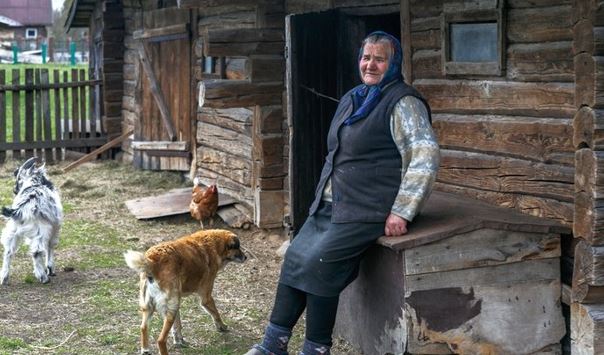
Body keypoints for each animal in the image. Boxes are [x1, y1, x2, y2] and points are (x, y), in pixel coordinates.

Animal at [0, 157, 63, 286]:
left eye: (18, 178)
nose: (14, 190)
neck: (35, 183)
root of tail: (20, 210)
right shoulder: (54, 227)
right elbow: (50, 246)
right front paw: (50, 269)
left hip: (13, 229)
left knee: (8, 251)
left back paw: (4, 277)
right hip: (40, 231)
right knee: (37, 251)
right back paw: (43, 277)